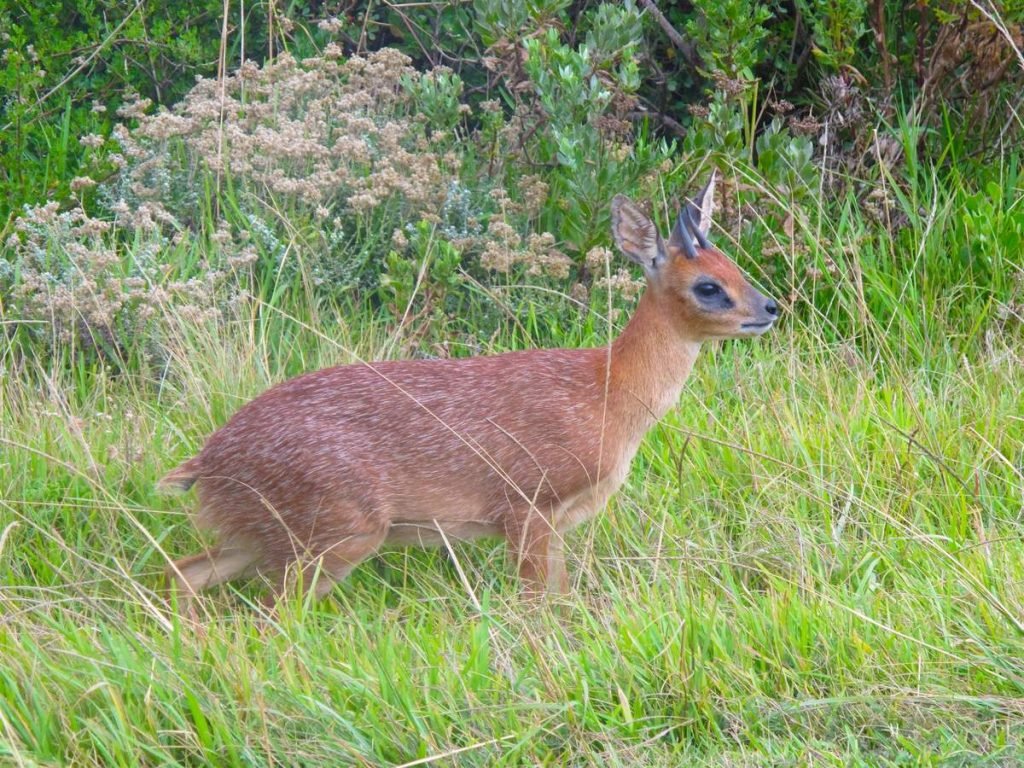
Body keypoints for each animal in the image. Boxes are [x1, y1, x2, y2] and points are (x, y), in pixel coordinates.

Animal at [157, 176, 774, 606]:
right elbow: (538, 609)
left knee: (182, 573)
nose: (770, 308)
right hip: (338, 532)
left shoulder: (555, 524)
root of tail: (207, 461)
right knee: (270, 612)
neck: (609, 393)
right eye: (709, 286)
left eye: (734, 264)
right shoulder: (527, 507)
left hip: (262, 535)